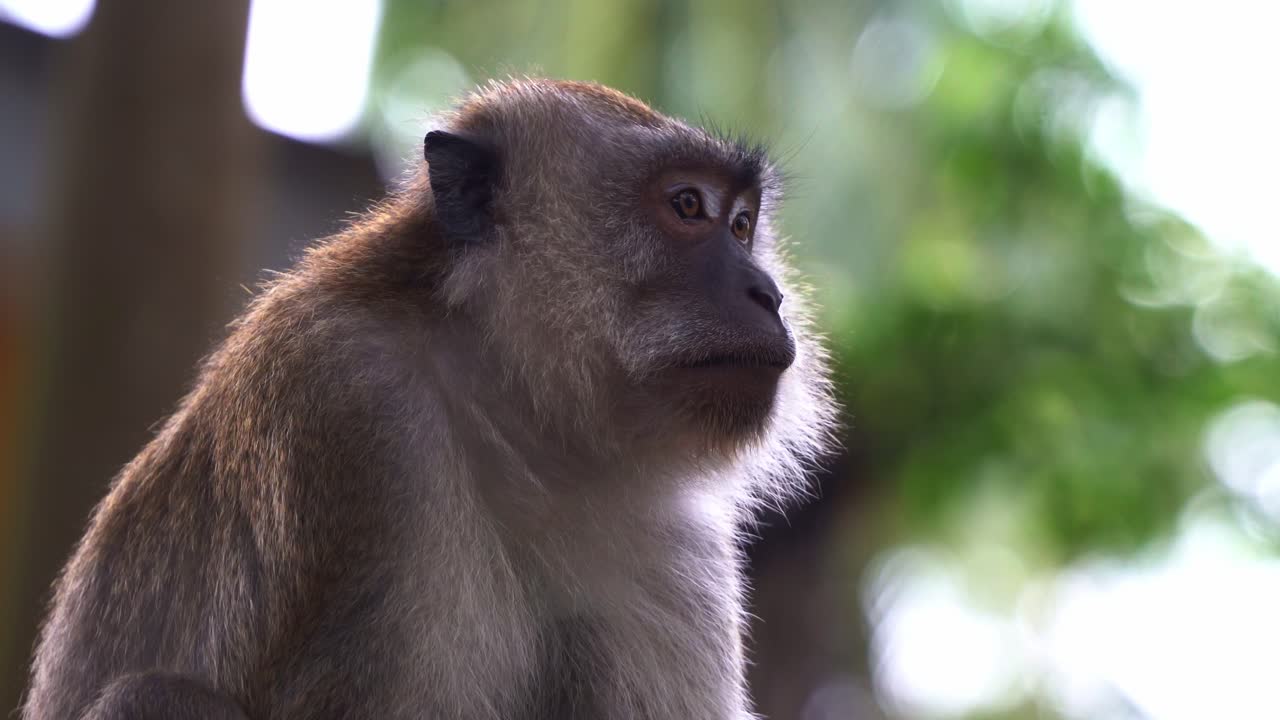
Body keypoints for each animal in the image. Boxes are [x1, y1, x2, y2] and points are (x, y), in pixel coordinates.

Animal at [23, 78, 837, 720]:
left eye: (742, 224)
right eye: (688, 205)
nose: (767, 294)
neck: (526, 435)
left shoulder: (675, 551)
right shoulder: (347, 403)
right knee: (153, 696)